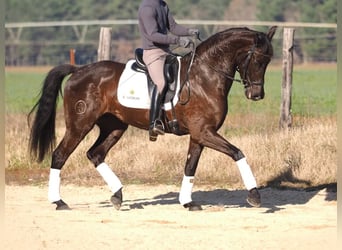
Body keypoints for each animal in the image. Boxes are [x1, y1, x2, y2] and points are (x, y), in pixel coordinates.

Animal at [28, 25, 276, 211]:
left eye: (268, 61)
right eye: (258, 60)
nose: (256, 95)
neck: (203, 76)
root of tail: (78, 70)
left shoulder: (199, 135)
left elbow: (190, 166)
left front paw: (187, 202)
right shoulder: (205, 132)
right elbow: (237, 153)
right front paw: (254, 195)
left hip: (114, 127)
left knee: (95, 154)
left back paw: (117, 195)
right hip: (80, 125)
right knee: (60, 155)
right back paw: (59, 201)